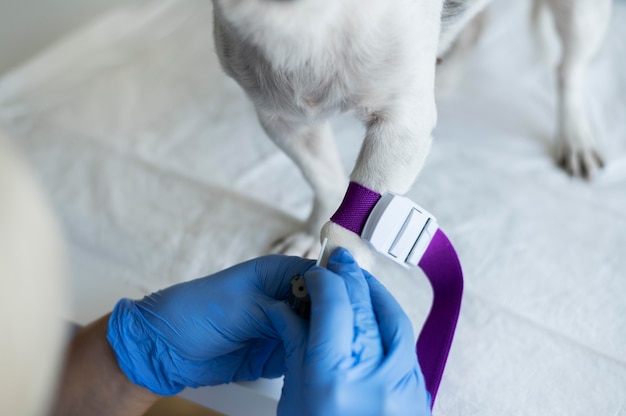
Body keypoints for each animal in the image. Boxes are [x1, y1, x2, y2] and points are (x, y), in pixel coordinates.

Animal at [210, 0, 608, 266]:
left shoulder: (401, 126)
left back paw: (575, 138)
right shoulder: (283, 120)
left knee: (569, 70)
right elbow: (325, 182)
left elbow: (351, 226)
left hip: (582, 15)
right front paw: (311, 233)